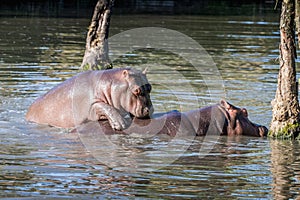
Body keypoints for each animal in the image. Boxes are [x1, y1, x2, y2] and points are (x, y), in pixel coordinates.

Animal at [24, 67, 154, 130]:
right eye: (136, 90)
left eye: (150, 87)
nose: (150, 110)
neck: (110, 84)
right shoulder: (92, 105)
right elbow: (106, 107)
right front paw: (121, 125)